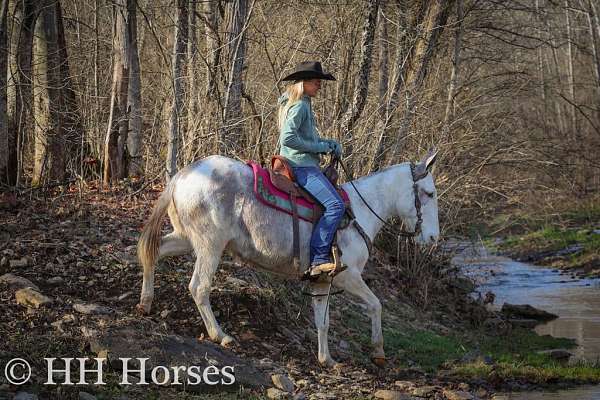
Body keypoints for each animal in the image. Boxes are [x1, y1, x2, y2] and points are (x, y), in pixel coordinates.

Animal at [139, 151, 440, 368]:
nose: (433, 238)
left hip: (185, 239)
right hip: (209, 246)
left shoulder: (322, 281)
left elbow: (323, 321)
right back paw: (220, 335)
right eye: (429, 193)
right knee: (199, 287)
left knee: (153, 253)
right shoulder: (349, 276)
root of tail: (183, 174)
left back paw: (145, 302)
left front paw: (326, 360)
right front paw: (378, 351)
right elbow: (376, 305)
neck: (358, 213)